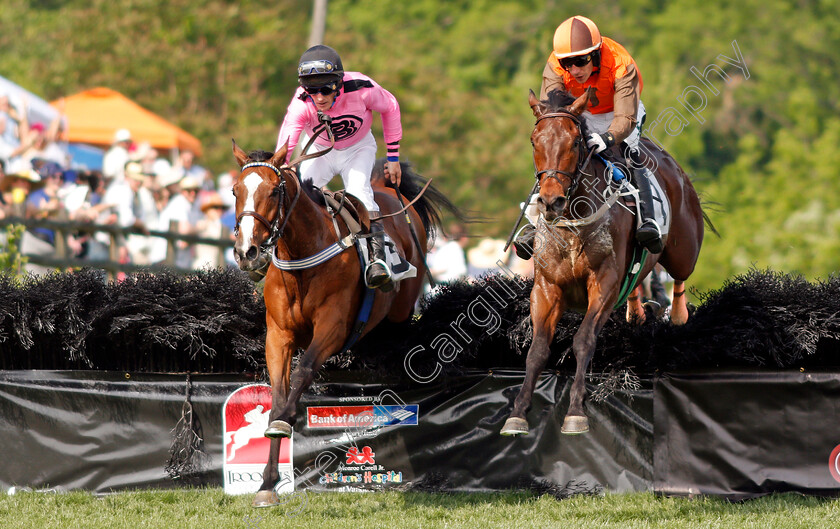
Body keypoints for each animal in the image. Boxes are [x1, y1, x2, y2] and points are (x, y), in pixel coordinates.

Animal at [230, 141, 456, 508]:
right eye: (235, 190)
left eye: (274, 191)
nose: (246, 251)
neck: (301, 258)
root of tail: (384, 187)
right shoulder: (278, 335)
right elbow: (277, 393)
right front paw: (267, 484)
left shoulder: (333, 328)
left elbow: (304, 371)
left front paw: (284, 424)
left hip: (402, 307)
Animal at [502, 88, 704, 438]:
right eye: (533, 141)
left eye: (574, 142)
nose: (551, 201)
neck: (572, 221)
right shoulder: (545, 287)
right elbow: (538, 349)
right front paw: (517, 414)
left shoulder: (604, 283)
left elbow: (584, 340)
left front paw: (575, 412)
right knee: (637, 282)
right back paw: (637, 311)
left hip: (682, 249)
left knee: (679, 275)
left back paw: (677, 313)